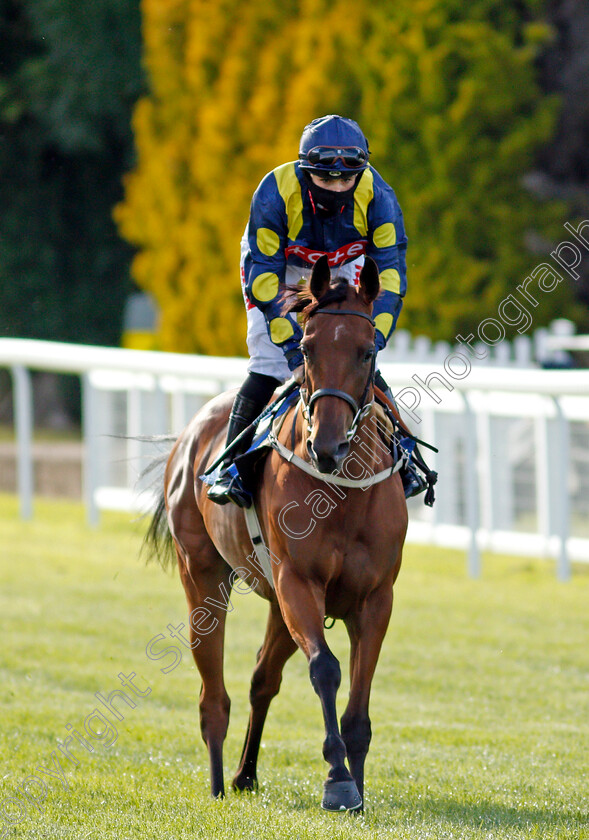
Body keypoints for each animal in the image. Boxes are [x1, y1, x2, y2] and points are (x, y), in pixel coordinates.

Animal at [145, 254, 406, 808]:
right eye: (306, 348)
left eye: (367, 349)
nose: (327, 445)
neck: (342, 494)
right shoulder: (298, 582)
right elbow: (325, 669)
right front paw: (338, 779)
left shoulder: (375, 597)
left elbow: (358, 705)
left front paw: (359, 788)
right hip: (202, 574)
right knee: (213, 693)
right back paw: (219, 783)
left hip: (275, 604)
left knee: (262, 678)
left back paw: (245, 774)